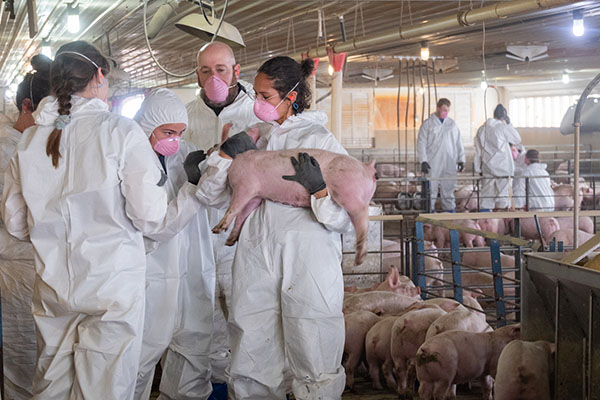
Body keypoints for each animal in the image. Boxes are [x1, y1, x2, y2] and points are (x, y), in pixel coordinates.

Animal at [212, 148, 376, 264]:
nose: (209, 152)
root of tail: (367, 168)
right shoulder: (256, 196)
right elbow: (242, 214)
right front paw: (229, 241)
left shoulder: (245, 186)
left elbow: (234, 207)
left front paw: (216, 229)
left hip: (350, 195)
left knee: (362, 219)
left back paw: (359, 259)